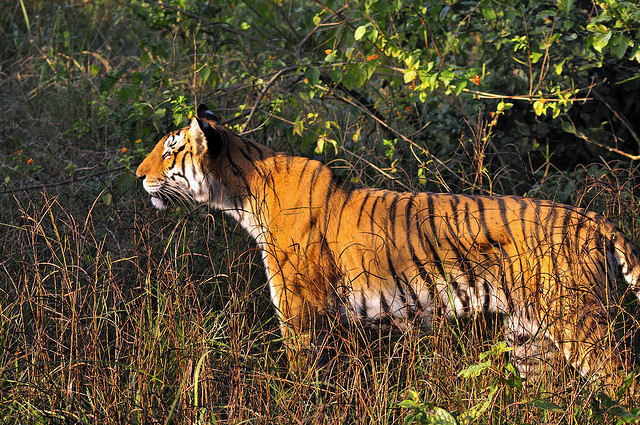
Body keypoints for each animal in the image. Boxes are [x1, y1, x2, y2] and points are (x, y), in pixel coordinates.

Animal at [136, 103, 640, 388]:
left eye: (170, 150)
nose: (138, 175)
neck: (240, 193)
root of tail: (593, 219)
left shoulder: (300, 313)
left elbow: (301, 378)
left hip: (579, 322)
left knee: (622, 382)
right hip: (529, 339)